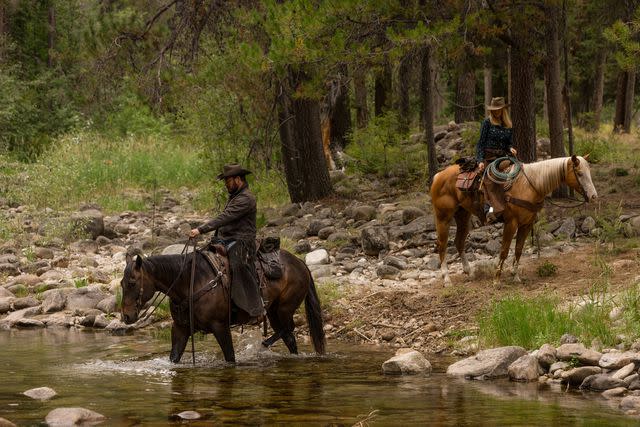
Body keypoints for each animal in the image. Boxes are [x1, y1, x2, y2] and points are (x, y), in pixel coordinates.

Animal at [120, 251, 324, 364]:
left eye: (132, 282)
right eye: (121, 283)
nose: (126, 316)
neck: (190, 283)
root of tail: (300, 262)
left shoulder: (220, 326)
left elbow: (230, 357)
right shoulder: (180, 328)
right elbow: (174, 357)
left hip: (284, 308)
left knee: (288, 328)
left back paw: (262, 345)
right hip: (274, 312)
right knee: (289, 336)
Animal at [430, 155, 600, 286]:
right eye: (579, 173)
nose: (593, 197)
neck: (529, 186)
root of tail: (438, 176)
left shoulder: (526, 224)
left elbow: (518, 250)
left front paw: (515, 276)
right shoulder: (511, 223)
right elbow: (504, 251)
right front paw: (497, 280)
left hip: (463, 215)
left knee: (459, 242)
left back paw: (469, 272)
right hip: (443, 217)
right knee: (442, 245)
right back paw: (447, 279)